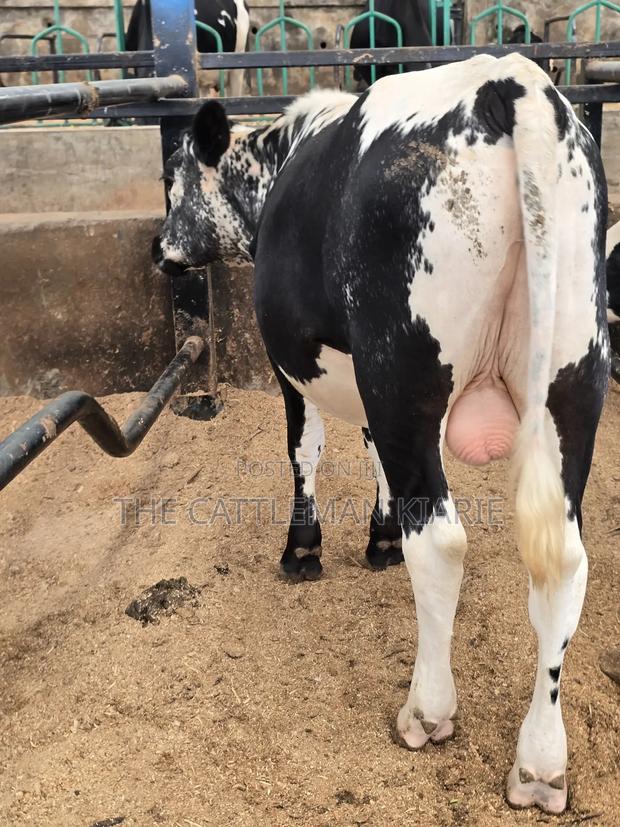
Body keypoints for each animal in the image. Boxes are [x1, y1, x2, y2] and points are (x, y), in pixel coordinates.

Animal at [152, 54, 610, 814]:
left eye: (174, 177)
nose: (159, 250)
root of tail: (508, 81)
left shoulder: (295, 363)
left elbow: (304, 451)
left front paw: (303, 550)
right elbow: (372, 456)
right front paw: (382, 536)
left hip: (404, 371)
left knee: (445, 539)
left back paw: (427, 711)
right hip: (575, 373)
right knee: (564, 563)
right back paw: (541, 764)